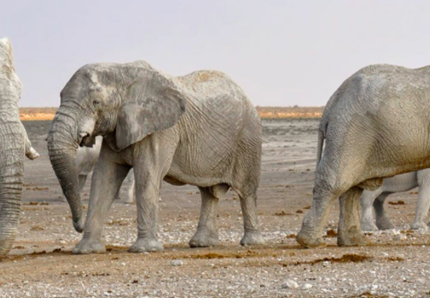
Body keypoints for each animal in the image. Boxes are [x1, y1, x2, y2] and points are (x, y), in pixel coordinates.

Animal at [47, 60, 262, 254]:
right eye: (60, 96)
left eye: (96, 102)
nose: (79, 225)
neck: (121, 70)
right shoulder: (117, 129)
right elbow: (104, 178)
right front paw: (86, 250)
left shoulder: (161, 130)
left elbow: (147, 174)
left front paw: (144, 249)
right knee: (209, 193)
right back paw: (202, 244)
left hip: (248, 138)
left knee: (246, 190)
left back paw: (250, 242)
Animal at [298, 64, 430, 248]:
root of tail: (333, 101)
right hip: (350, 132)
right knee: (336, 182)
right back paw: (309, 241)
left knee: (352, 186)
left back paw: (353, 241)